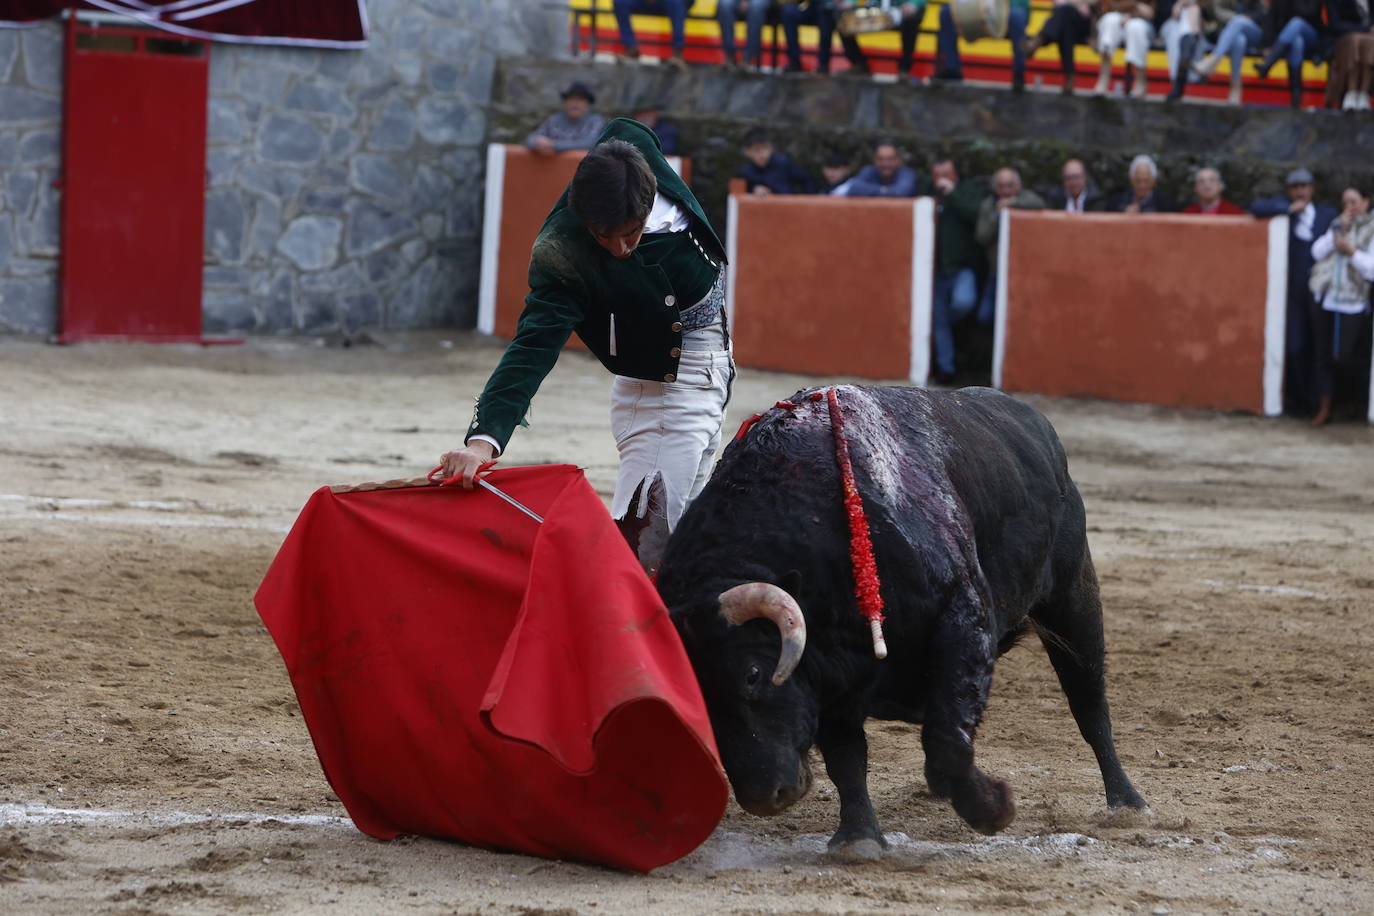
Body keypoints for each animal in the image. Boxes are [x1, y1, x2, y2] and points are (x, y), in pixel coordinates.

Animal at [656, 384, 1148, 856]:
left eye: (754, 673)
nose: (763, 796)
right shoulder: (829, 671)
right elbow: (847, 757)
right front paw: (859, 837)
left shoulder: (961, 618)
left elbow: (948, 741)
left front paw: (994, 808)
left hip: (1073, 598)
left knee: (1088, 702)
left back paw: (1127, 802)